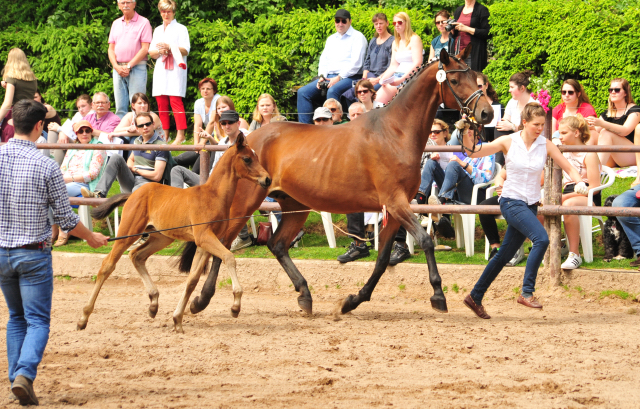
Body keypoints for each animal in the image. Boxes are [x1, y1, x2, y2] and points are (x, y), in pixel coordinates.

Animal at [77, 133, 270, 332]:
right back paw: (84, 317)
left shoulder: (205, 243)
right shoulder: (204, 237)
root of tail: (133, 194)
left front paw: (178, 319)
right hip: (129, 232)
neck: (213, 196)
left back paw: (153, 303)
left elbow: (192, 280)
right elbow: (229, 258)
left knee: (137, 256)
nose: (267, 179)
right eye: (247, 159)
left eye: (256, 156)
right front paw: (235, 306)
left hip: (161, 238)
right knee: (108, 265)